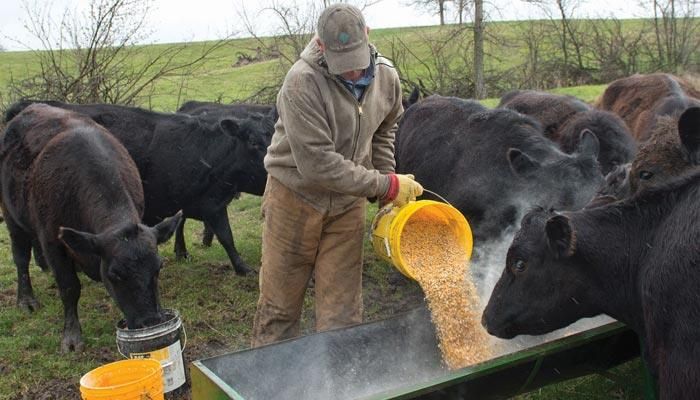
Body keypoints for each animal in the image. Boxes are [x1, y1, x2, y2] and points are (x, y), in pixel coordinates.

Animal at [0, 104, 180, 352]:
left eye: (159, 267)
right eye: (115, 274)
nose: (150, 322)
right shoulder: (52, 241)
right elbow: (69, 288)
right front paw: (71, 337)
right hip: (11, 216)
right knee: (20, 258)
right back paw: (26, 300)